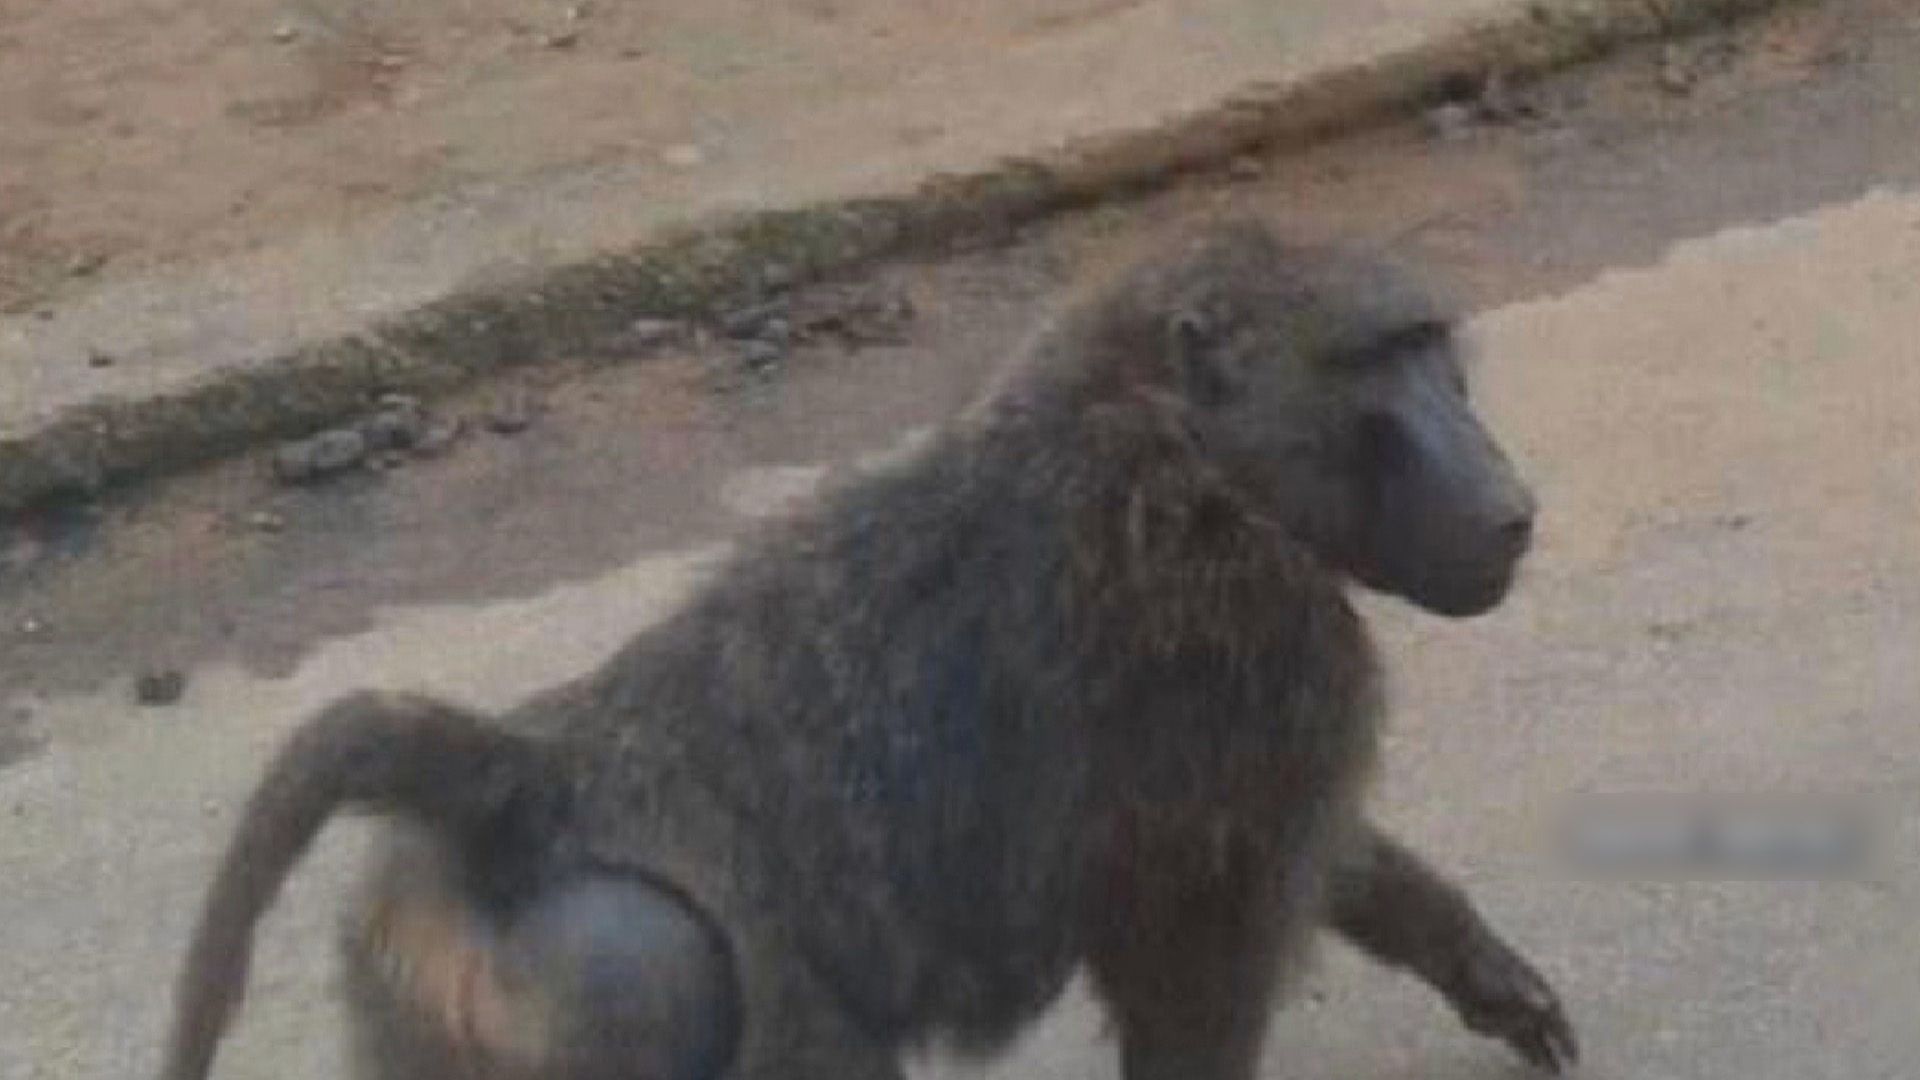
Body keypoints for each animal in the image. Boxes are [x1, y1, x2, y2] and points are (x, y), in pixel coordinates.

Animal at [158, 218, 1577, 1080]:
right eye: (1382, 364)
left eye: (1435, 352)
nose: (1511, 504)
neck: (1168, 436)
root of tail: (527, 781)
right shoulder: (1265, 650)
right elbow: (1197, 963)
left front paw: (1487, 976)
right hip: (623, 975)